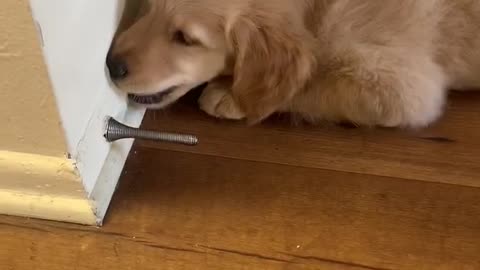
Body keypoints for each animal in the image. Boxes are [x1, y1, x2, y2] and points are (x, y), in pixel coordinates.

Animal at [109, 0, 480, 127]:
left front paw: (231, 95)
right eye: (149, 8)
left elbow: (314, 79)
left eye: (185, 39)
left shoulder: (406, 87)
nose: (111, 65)